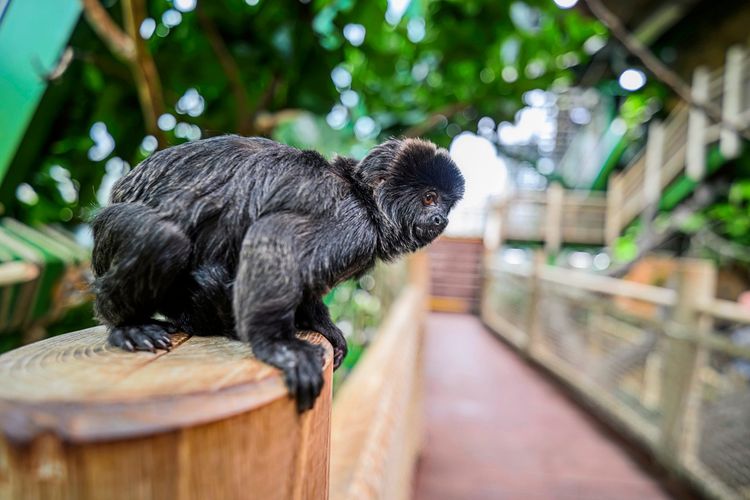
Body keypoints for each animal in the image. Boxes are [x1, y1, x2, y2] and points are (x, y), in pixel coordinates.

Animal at [91, 136, 465, 411]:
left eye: (446, 204)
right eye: (429, 198)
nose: (441, 218)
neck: (365, 200)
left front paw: (324, 326)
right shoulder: (349, 224)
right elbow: (274, 233)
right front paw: (280, 347)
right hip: (112, 232)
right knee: (163, 237)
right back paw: (127, 325)